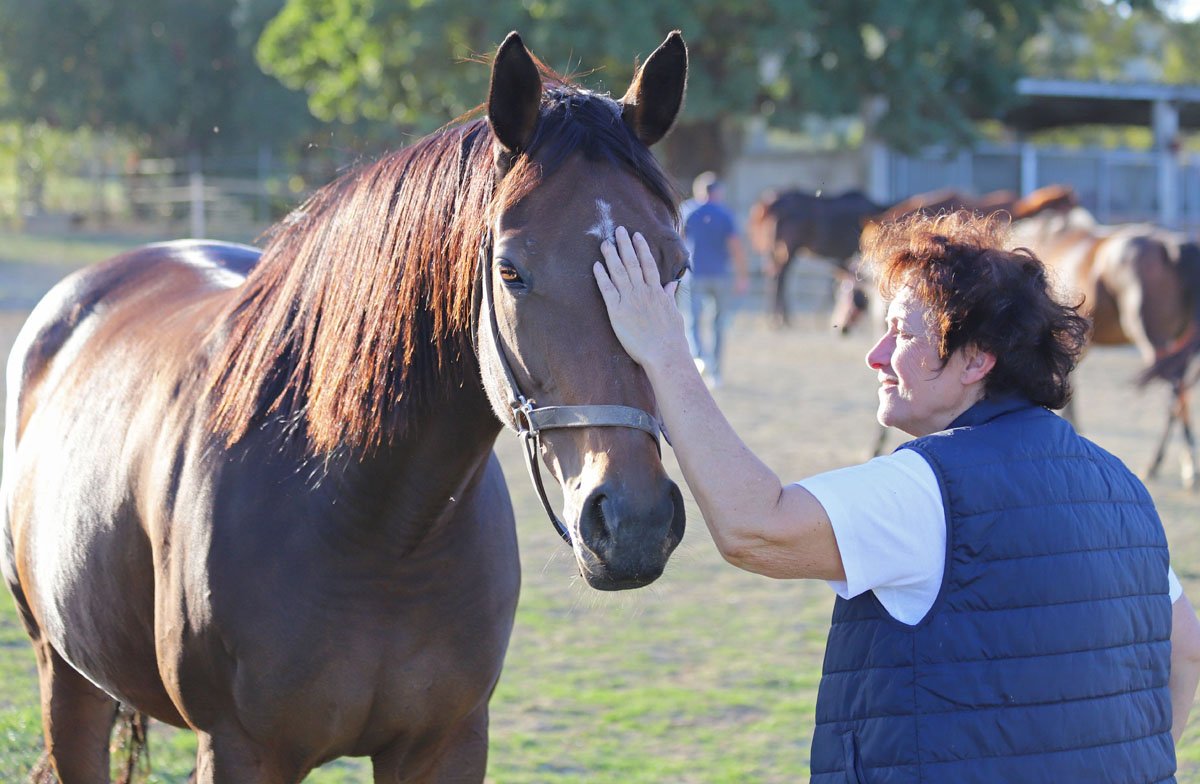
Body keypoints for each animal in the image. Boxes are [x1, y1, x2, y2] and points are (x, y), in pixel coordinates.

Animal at [1, 31, 689, 783]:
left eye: (676, 267)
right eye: (511, 270)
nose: (633, 523)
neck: (374, 526)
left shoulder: (447, 744)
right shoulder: (238, 749)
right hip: (65, 677)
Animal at [747, 189, 888, 326]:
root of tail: (771, 203)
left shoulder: (843, 256)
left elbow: (836, 282)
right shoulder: (847, 254)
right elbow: (839, 283)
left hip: (773, 249)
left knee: (772, 276)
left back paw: (774, 317)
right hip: (788, 248)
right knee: (780, 277)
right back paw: (782, 318)